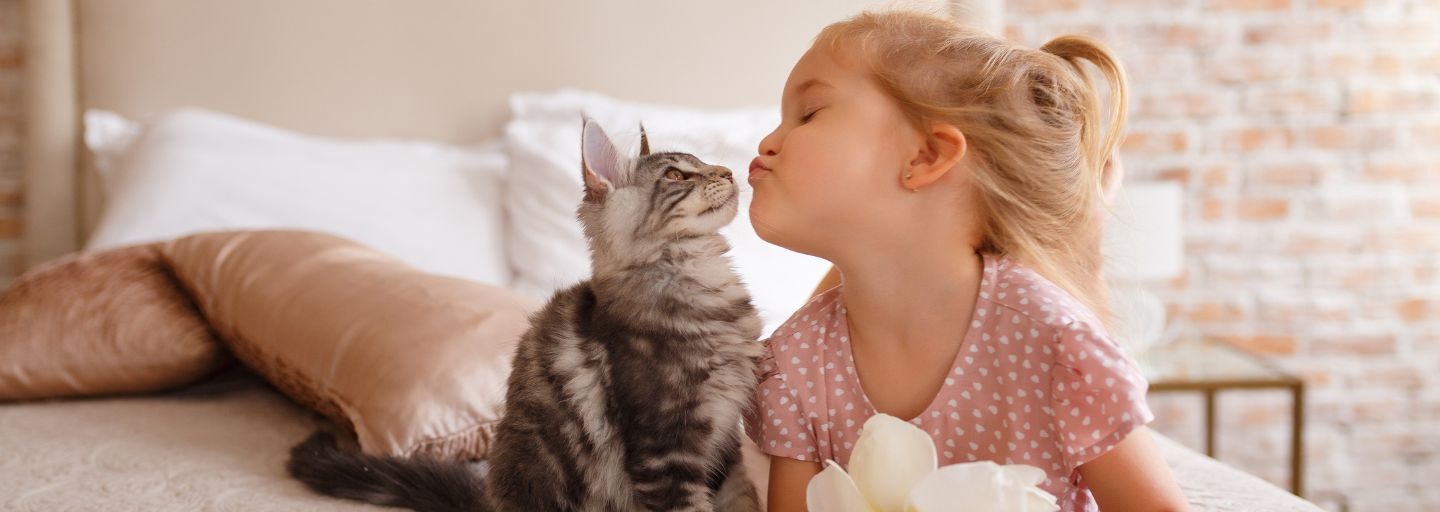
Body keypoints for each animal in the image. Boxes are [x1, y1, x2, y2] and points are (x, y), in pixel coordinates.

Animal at [286, 118, 771, 512]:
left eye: (703, 161)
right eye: (675, 175)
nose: (728, 171)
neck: (701, 280)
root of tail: (489, 501)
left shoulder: (724, 444)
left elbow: (743, 498)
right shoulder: (665, 450)